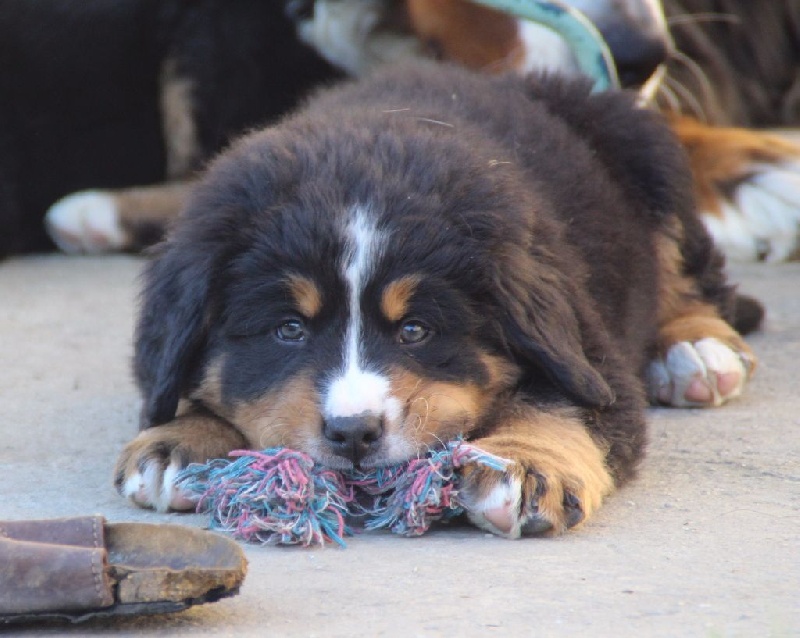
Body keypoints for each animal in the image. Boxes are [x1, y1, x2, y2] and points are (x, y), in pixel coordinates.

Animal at [115, 63, 760, 540]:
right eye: (289, 330)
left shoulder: (592, 355)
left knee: (687, 274)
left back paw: (693, 348)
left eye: (415, 331)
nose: (353, 434)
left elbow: (561, 401)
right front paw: (183, 441)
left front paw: (524, 462)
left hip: (646, 151)